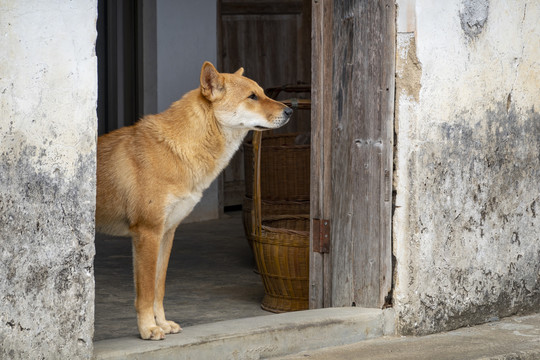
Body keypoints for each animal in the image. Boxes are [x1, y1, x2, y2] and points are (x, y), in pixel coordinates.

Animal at [95, 62, 294, 340]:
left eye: (264, 93)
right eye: (252, 97)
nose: (290, 111)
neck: (176, 149)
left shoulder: (166, 234)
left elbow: (158, 289)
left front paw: (161, 323)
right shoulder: (147, 233)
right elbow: (145, 293)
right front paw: (148, 329)